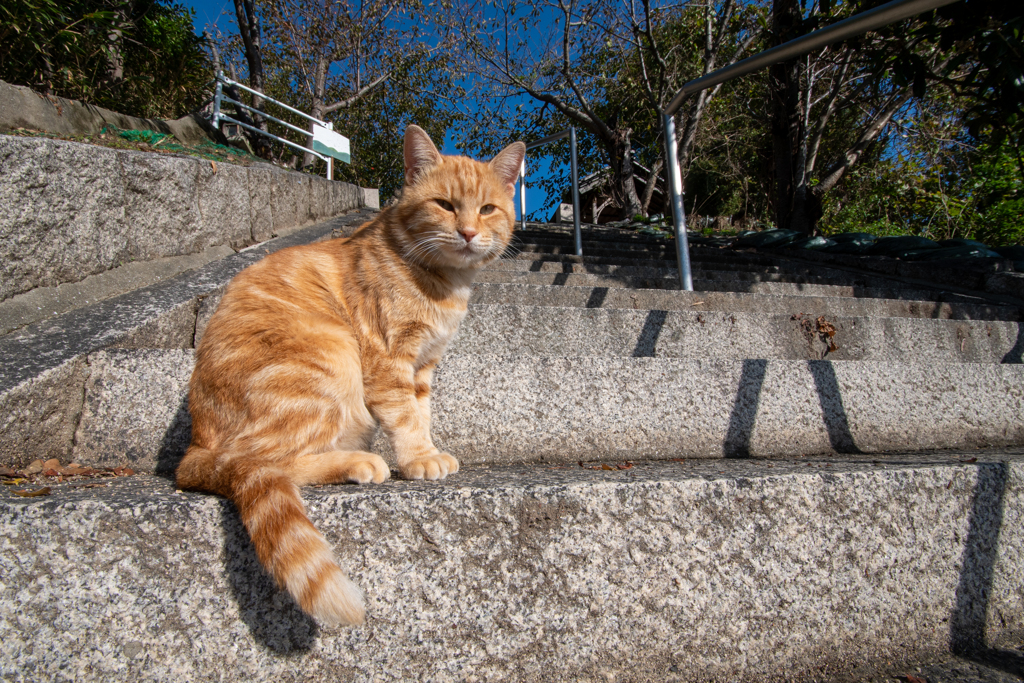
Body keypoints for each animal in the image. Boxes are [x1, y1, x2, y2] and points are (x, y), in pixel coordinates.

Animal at [175, 125, 524, 626]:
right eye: (444, 204)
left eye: (488, 208)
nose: (468, 232)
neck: (443, 284)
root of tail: (194, 447)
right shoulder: (387, 360)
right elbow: (405, 417)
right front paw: (419, 457)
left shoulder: (423, 366)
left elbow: (421, 412)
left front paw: (426, 450)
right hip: (331, 353)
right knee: (262, 461)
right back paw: (357, 462)